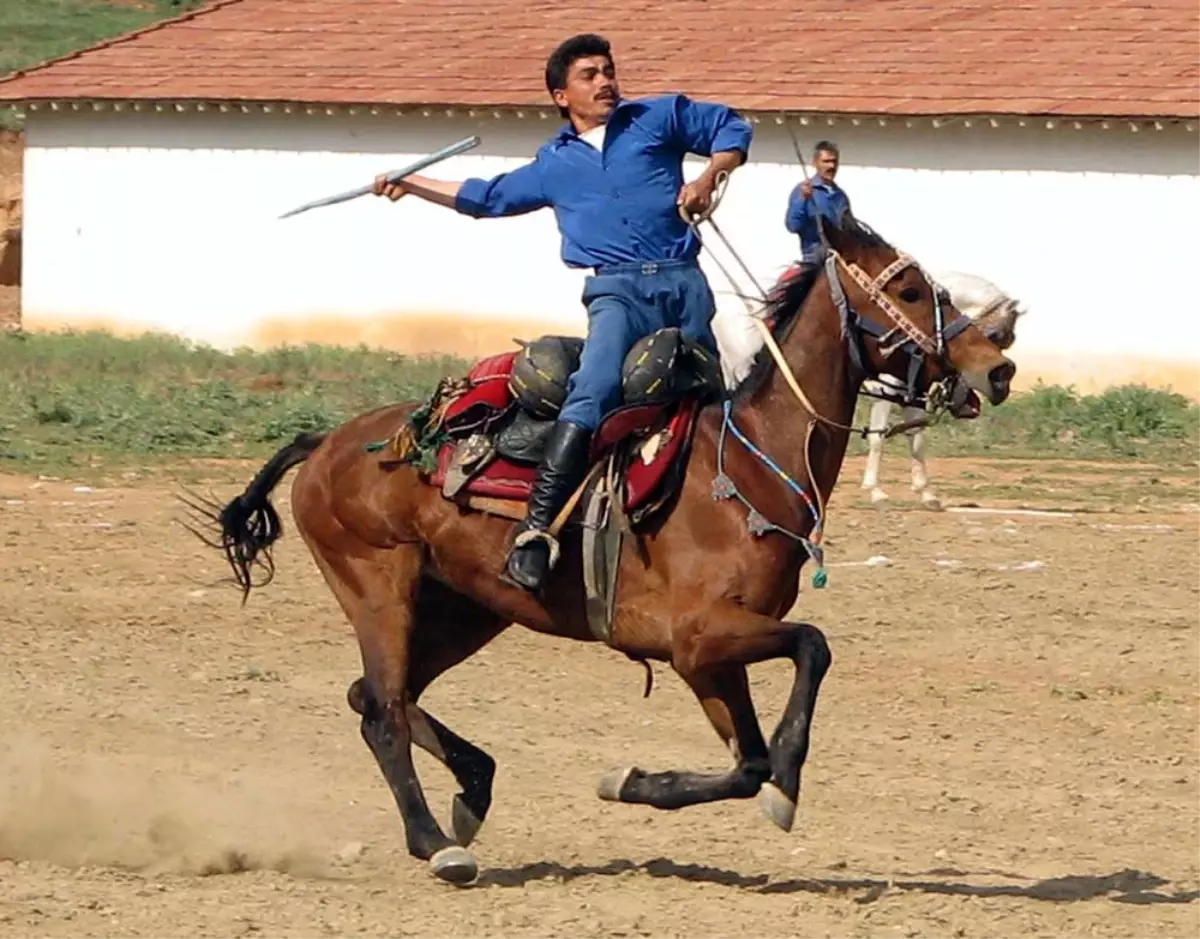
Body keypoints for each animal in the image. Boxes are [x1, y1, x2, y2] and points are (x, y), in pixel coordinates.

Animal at [705, 264, 1027, 513]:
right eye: (997, 334)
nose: (999, 380)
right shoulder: (887, 392)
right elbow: (878, 438)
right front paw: (876, 491)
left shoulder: (908, 393)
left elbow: (916, 437)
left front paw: (926, 493)